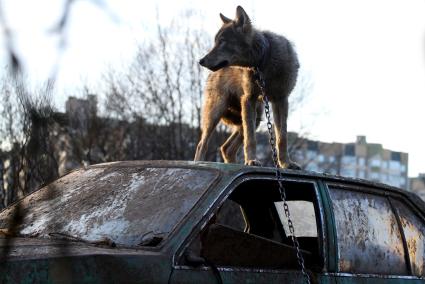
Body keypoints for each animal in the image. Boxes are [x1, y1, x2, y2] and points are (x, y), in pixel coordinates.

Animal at [194, 5, 300, 169]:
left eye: (222, 42)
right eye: (215, 42)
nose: (201, 60)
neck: (262, 62)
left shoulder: (281, 100)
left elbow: (282, 137)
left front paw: (286, 163)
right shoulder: (248, 99)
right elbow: (251, 139)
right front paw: (251, 161)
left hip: (256, 116)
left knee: (226, 148)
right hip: (216, 112)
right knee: (202, 144)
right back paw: (199, 163)